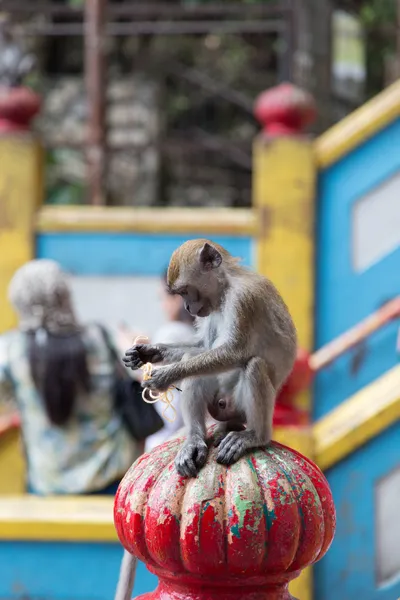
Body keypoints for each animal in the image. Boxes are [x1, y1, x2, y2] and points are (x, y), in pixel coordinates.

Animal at [124, 239, 296, 478]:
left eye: (185, 291)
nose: (187, 307)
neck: (226, 288)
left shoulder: (244, 299)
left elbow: (235, 352)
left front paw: (166, 376)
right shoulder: (210, 310)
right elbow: (203, 346)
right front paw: (148, 352)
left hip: (237, 403)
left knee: (254, 366)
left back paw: (255, 436)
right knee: (194, 365)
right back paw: (195, 440)